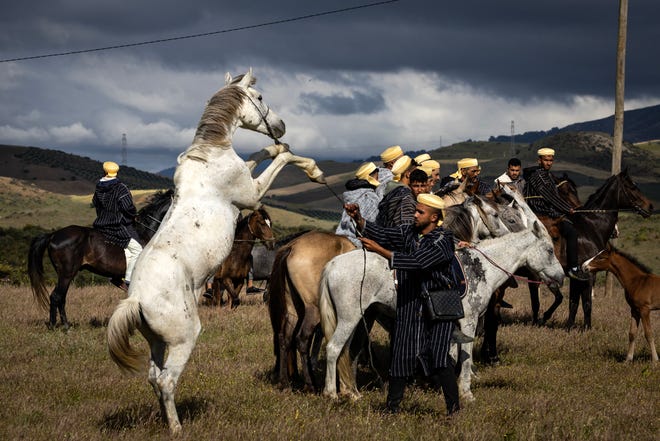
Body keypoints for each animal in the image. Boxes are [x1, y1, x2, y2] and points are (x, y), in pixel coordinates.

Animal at [28, 187, 173, 328]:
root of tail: (53, 235)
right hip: (67, 273)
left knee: (61, 297)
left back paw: (64, 325)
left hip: (64, 274)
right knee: (56, 296)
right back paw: (57, 326)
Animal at [105, 69, 324, 434]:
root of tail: (136, 300)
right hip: (184, 338)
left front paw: (279, 144)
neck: (209, 157)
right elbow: (280, 158)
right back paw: (177, 429)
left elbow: (262, 153)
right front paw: (312, 169)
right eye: (260, 97)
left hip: (157, 341)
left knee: (153, 377)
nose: (281, 126)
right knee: (166, 381)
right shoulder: (251, 194)